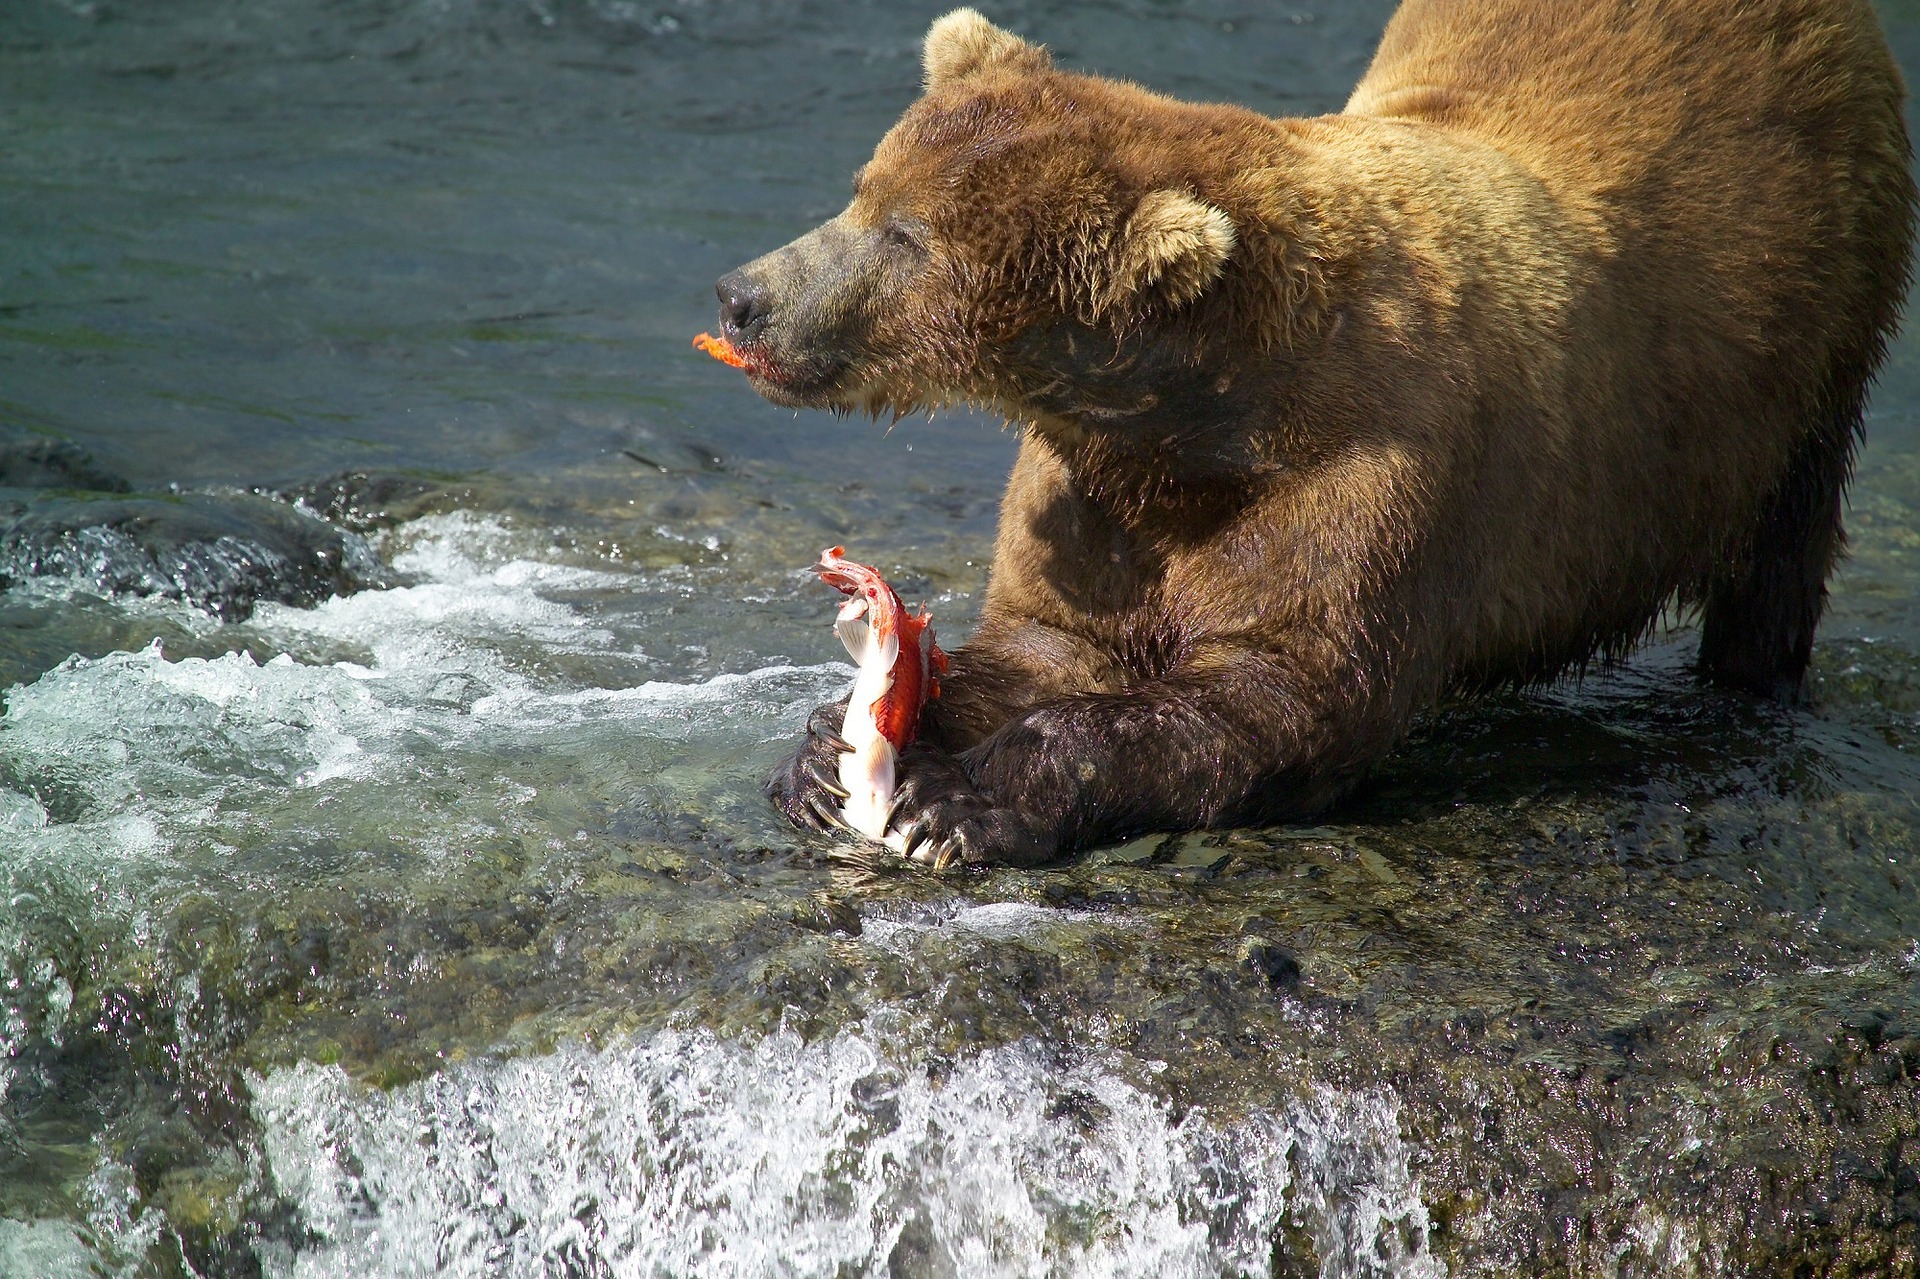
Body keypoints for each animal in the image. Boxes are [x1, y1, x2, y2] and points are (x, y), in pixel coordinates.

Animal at [718, 4, 1904, 860]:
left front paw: (956, 800)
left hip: (1808, 331)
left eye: (910, 238)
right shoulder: (1094, 490)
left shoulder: (1365, 474)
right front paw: (828, 748)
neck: (1202, 421)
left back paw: (1746, 689)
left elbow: (1284, 690)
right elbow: (1048, 639)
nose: (744, 298)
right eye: (864, 189)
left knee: (1782, 544)